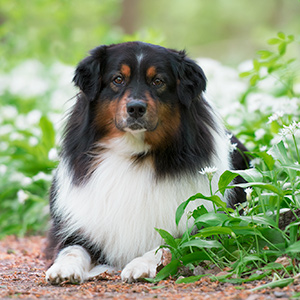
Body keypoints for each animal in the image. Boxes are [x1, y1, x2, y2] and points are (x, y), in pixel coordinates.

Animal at [45, 41, 248, 284]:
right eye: (118, 79)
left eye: (158, 81)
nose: (135, 108)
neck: (134, 154)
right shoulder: (75, 229)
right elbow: (71, 249)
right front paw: (63, 268)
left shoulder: (201, 230)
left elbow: (166, 245)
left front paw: (139, 265)